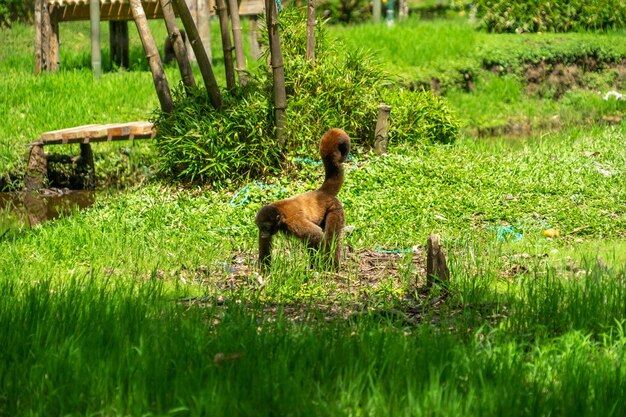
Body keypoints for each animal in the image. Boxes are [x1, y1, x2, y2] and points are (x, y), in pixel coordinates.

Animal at [255, 128, 352, 272]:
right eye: (260, 227)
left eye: (265, 226)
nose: (262, 233)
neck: (280, 214)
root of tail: (321, 193)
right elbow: (265, 247)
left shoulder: (293, 221)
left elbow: (317, 236)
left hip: (335, 208)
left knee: (330, 238)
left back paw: (331, 266)